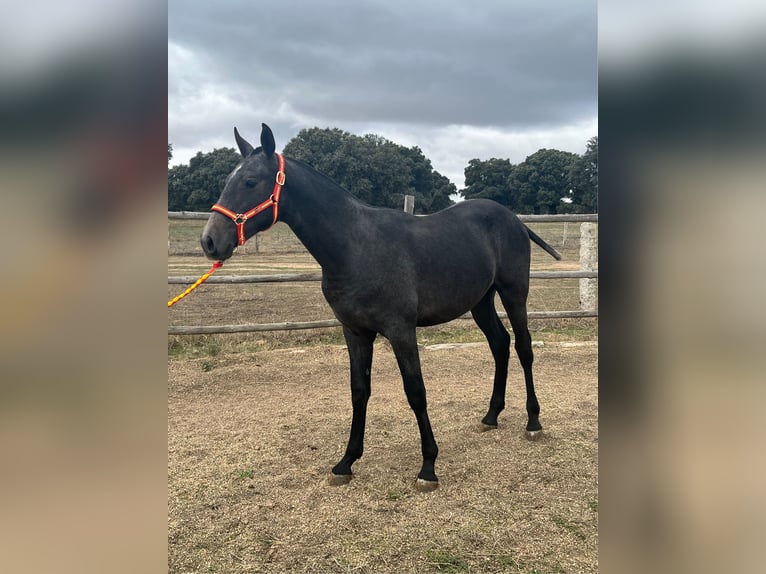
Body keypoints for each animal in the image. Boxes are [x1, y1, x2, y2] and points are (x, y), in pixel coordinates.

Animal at [201, 124, 564, 492]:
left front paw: (428, 466)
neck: (355, 247)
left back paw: (533, 421)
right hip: (481, 302)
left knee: (523, 348)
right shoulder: (355, 332)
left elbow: (416, 391)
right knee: (500, 345)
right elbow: (359, 391)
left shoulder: (401, 331)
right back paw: (491, 416)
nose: (210, 241)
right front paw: (346, 461)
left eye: (250, 182)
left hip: (514, 293)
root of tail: (514, 220)